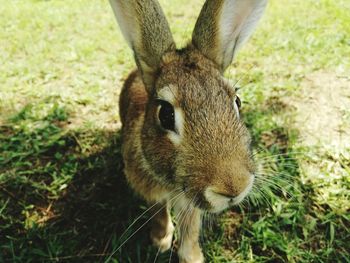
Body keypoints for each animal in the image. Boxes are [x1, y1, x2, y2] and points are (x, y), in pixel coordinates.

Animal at [109, 0, 268, 263]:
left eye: (237, 101)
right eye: (165, 114)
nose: (234, 187)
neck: (173, 185)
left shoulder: (190, 203)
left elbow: (191, 226)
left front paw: (192, 256)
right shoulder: (151, 192)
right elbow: (159, 212)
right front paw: (161, 240)